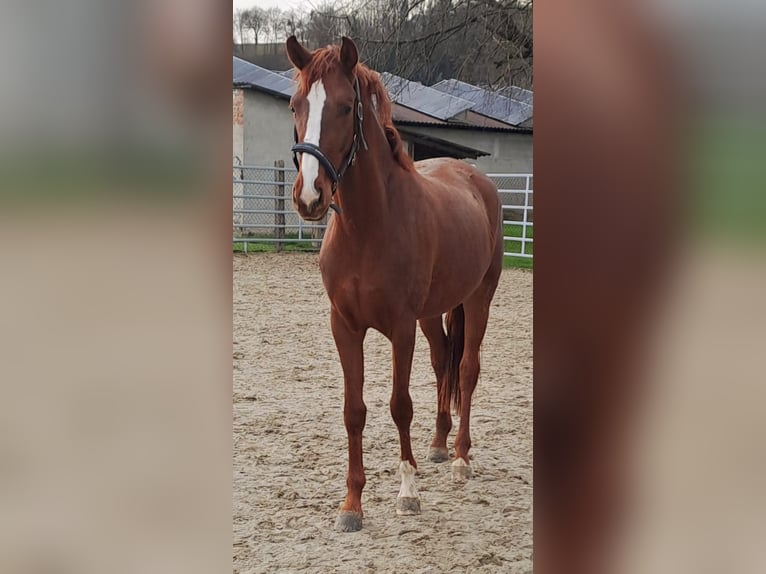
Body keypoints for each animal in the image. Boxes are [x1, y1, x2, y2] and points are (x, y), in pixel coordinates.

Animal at [284, 35, 508, 532]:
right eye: (295, 105)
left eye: (346, 107)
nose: (310, 196)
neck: (369, 228)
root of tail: (474, 177)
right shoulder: (344, 327)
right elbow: (354, 411)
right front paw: (352, 504)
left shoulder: (401, 328)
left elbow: (399, 404)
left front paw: (408, 491)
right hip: (434, 312)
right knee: (444, 361)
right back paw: (439, 445)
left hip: (479, 298)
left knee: (467, 369)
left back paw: (461, 457)